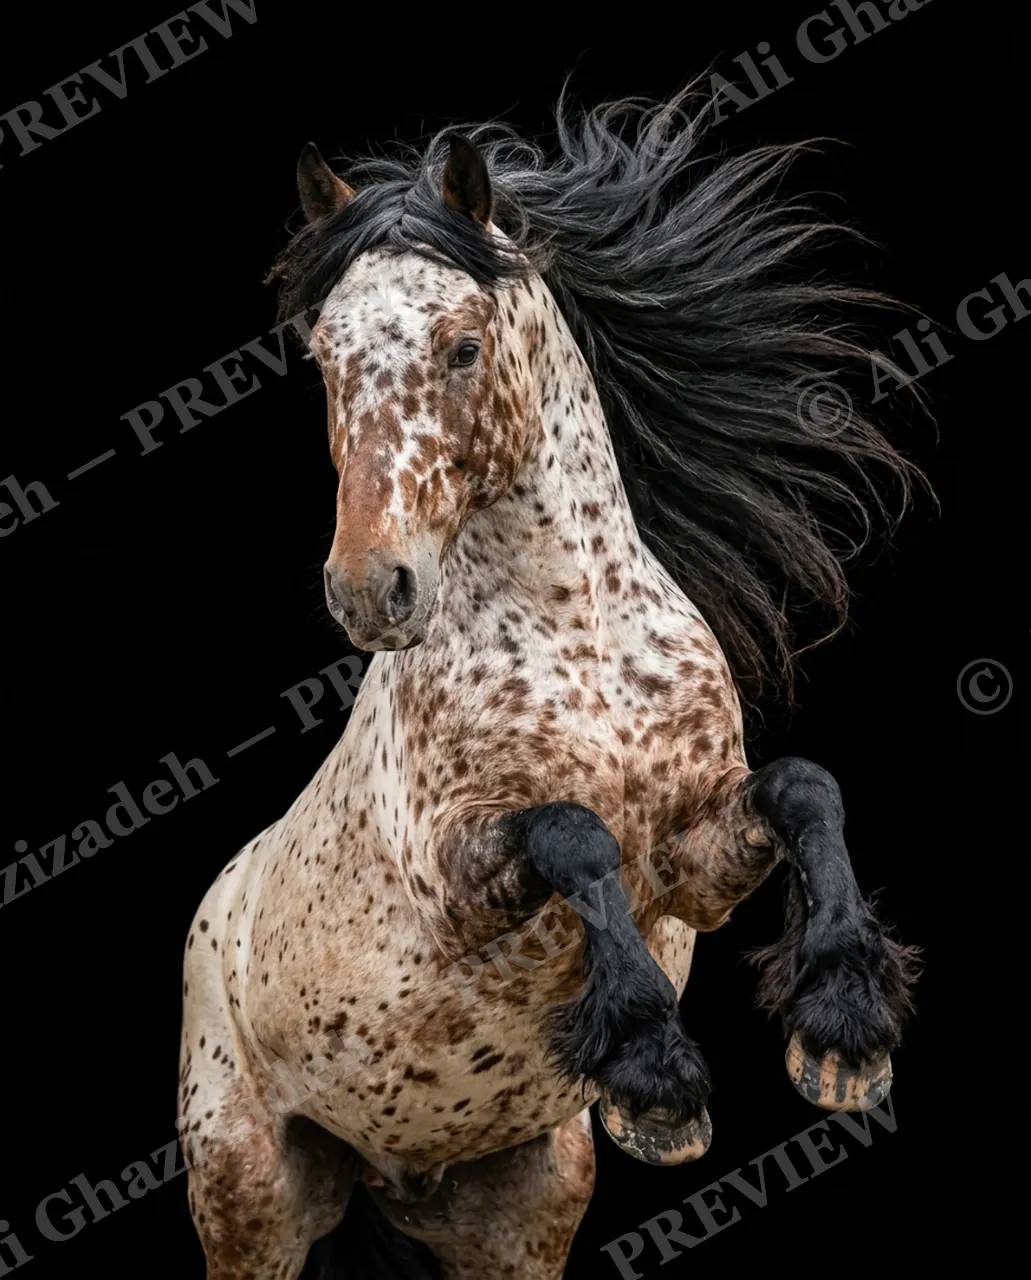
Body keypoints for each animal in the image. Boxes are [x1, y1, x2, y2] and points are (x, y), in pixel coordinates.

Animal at [178, 88, 920, 1279]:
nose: (368, 589)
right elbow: (574, 831)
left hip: (522, 1208)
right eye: (325, 357)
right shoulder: (451, 883)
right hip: (249, 1193)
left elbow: (803, 785)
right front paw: (654, 1082)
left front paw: (843, 1038)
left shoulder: (697, 864)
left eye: (462, 345)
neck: (576, 639)